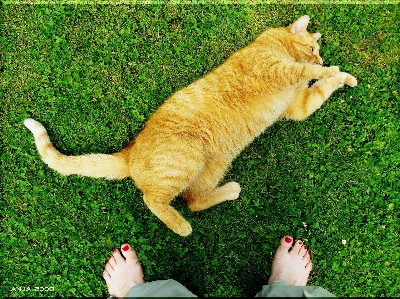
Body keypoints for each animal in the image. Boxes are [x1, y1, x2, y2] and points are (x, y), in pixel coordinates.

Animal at [24, 15, 356, 237]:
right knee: (153, 199)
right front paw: (329, 69)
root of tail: (130, 151)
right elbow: (304, 71)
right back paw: (181, 226)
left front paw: (343, 77)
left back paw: (229, 191)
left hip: (212, 167)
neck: (276, 45)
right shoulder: (275, 69)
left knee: (194, 201)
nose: (321, 57)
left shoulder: (299, 105)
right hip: (188, 157)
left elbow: (321, 90)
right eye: (313, 49)